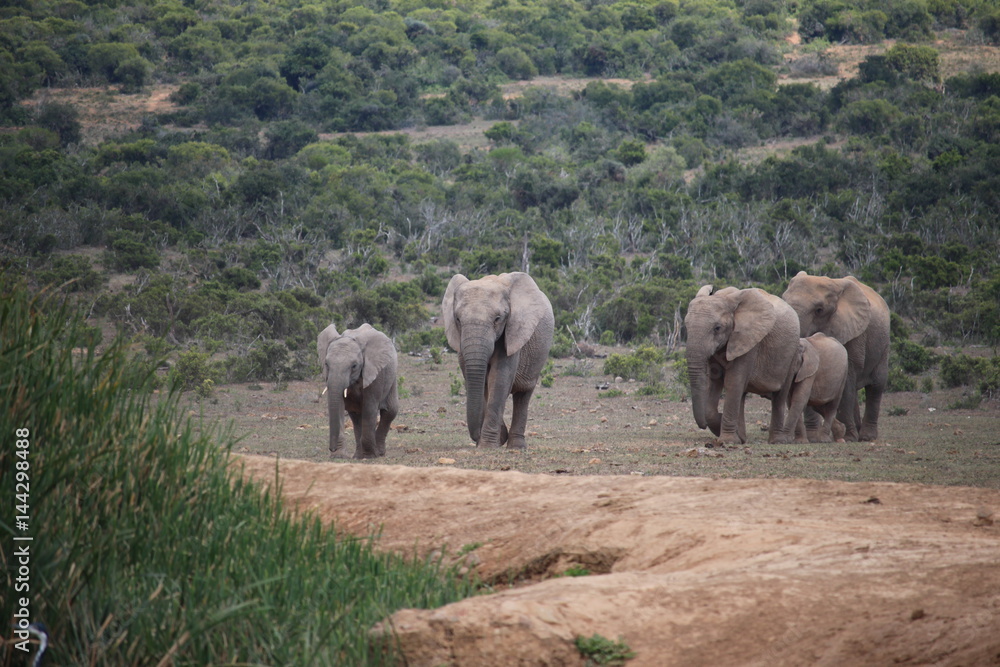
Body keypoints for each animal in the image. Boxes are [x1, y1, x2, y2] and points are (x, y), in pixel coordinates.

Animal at [317, 322, 398, 458]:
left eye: (354, 366)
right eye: (326, 364)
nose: (331, 449)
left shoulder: (375, 374)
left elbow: (369, 408)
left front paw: (370, 456)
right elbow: (339, 405)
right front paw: (339, 456)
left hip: (392, 377)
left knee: (390, 411)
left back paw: (379, 453)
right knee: (356, 416)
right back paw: (358, 455)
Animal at [442, 272, 554, 449]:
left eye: (497, 319)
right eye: (458, 319)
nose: (476, 437)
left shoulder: (512, 330)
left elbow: (500, 378)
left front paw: (488, 445)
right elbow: (477, 381)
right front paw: (489, 442)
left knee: (523, 394)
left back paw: (516, 447)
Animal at [684, 285, 802, 445]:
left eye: (717, 328)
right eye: (686, 326)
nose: (702, 426)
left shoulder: (750, 341)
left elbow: (733, 381)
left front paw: (727, 440)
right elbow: (715, 381)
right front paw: (726, 429)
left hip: (792, 353)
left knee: (780, 395)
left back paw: (776, 441)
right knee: (742, 394)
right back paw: (742, 437)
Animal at [782, 272, 890, 441]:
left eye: (819, 310)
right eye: (783, 300)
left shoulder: (853, 333)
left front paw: (848, 438)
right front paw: (813, 438)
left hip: (883, 345)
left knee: (876, 385)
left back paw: (866, 437)